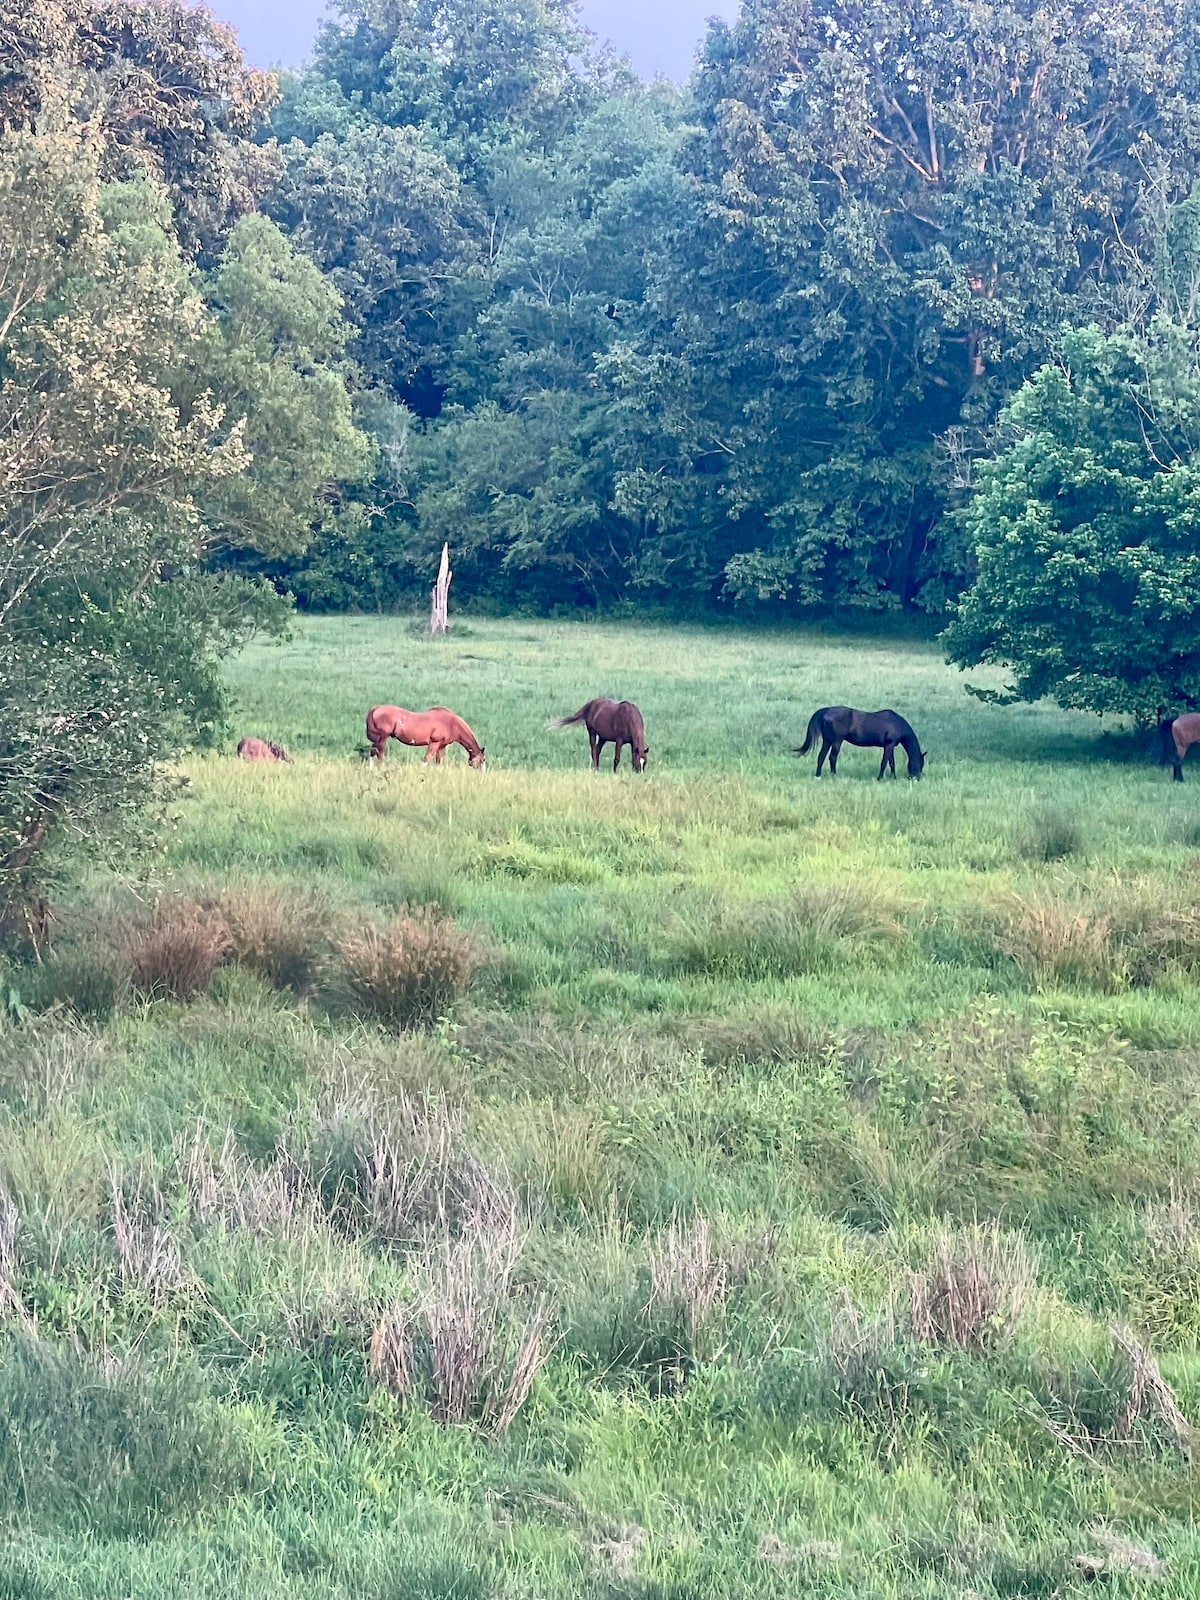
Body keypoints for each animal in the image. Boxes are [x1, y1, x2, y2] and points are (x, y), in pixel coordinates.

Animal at [800, 707, 928, 780]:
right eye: (920, 764)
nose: (915, 778)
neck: (897, 723)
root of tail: (825, 711)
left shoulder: (890, 747)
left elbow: (891, 763)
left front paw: (893, 777)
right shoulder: (888, 745)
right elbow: (884, 763)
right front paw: (880, 778)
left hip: (827, 741)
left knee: (821, 756)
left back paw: (818, 776)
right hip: (837, 741)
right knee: (832, 757)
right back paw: (834, 775)